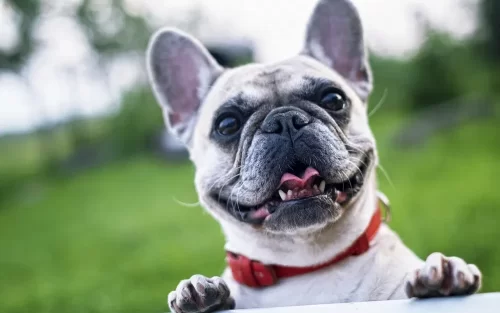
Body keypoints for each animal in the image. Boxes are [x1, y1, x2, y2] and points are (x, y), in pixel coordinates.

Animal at [146, 0, 482, 310]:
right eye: (227, 124)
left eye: (333, 99)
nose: (284, 120)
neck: (308, 264)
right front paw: (200, 293)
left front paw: (444, 275)